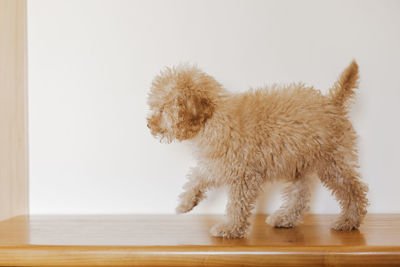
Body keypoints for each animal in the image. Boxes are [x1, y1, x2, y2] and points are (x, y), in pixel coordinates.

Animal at [146, 61, 368, 240]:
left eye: (163, 109)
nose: (148, 124)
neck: (214, 118)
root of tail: (332, 102)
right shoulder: (218, 162)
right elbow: (197, 176)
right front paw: (186, 202)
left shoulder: (243, 174)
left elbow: (237, 204)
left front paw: (230, 228)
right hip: (299, 163)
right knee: (300, 195)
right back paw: (285, 218)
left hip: (332, 162)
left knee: (353, 189)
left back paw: (349, 220)